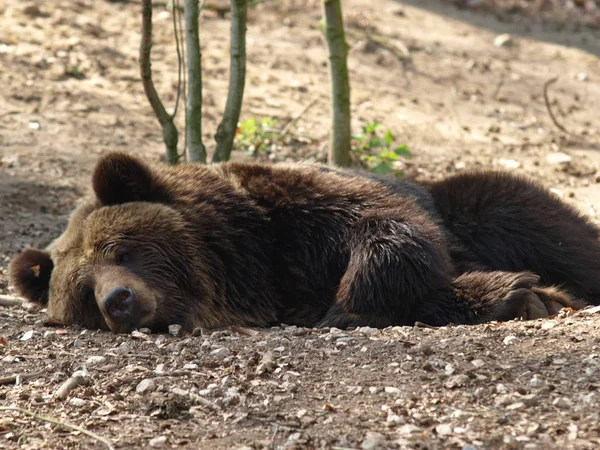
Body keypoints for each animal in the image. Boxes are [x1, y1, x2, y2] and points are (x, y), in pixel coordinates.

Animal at [7, 153, 596, 332]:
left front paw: (347, 306)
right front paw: (516, 293)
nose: (118, 299)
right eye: (82, 291)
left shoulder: (295, 211)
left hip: (476, 204)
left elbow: (389, 231)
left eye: (122, 249)